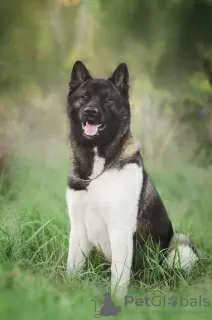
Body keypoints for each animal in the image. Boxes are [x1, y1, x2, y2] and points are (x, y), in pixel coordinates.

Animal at [65, 60, 199, 298]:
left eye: (107, 99)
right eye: (85, 97)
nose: (90, 112)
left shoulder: (120, 230)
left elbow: (118, 277)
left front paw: (117, 300)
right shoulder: (78, 228)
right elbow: (72, 269)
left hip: (181, 246)